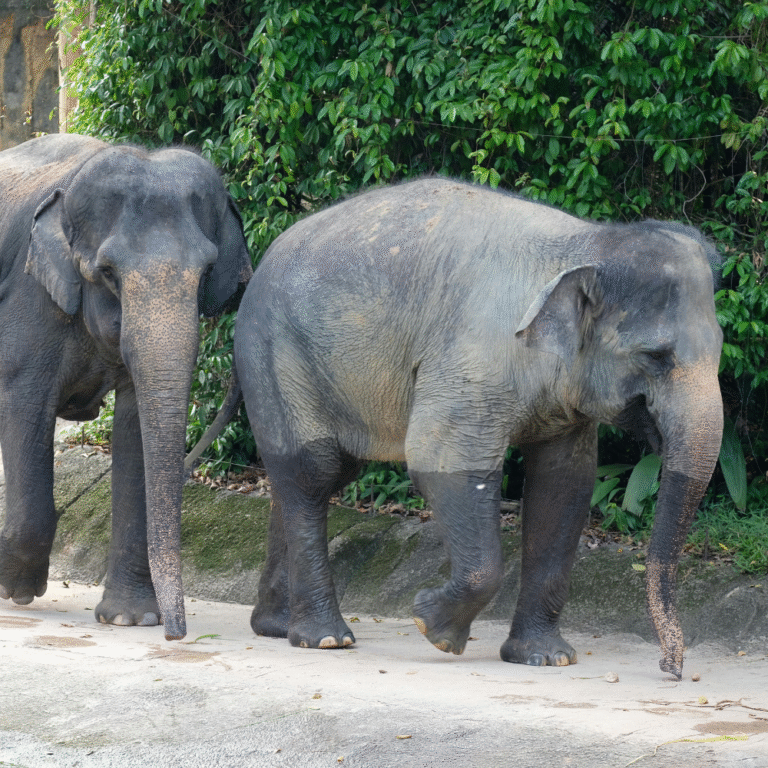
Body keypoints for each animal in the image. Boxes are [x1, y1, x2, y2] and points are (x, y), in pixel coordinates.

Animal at [0, 134, 252, 640]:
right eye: (108, 272)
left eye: (205, 272)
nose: (176, 635)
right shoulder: (29, 299)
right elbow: (24, 406)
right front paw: (18, 590)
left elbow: (136, 426)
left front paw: (130, 618)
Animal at [231, 177, 723, 679]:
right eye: (655, 357)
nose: (671, 668)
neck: (585, 243)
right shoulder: (469, 360)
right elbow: (439, 459)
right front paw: (432, 626)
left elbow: (563, 485)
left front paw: (547, 658)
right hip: (274, 352)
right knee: (313, 471)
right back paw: (326, 639)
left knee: (314, 477)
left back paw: (276, 627)